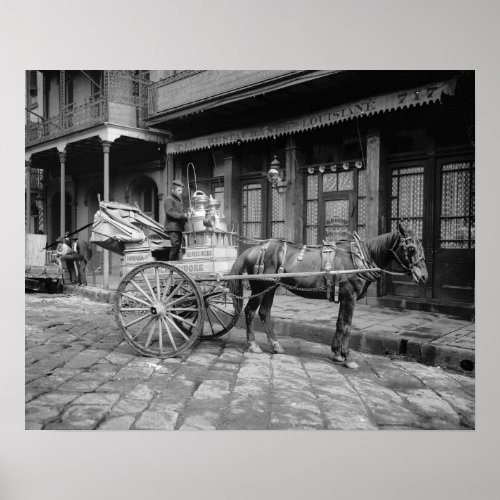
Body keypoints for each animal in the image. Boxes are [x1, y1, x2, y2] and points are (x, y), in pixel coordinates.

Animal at [229, 225, 428, 370]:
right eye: (410, 248)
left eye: (422, 247)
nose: (424, 276)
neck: (361, 258)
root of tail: (255, 248)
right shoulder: (350, 297)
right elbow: (347, 326)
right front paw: (348, 357)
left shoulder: (344, 297)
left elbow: (339, 323)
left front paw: (337, 354)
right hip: (260, 286)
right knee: (250, 311)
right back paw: (253, 345)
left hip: (271, 286)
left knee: (264, 313)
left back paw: (276, 345)